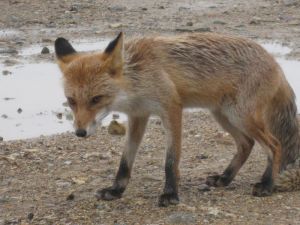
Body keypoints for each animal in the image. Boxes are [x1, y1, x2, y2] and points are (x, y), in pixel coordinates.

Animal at [55, 32, 300, 207]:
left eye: (96, 99)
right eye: (71, 100)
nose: (80, 132)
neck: (136, 79)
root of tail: (274, 61)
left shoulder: (171, 108)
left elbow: (171, 161)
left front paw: (170, 194)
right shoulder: (138, 116)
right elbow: (125, 161)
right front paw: (116, 190)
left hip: (240, 116)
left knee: (275, 145)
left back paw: (267, 185)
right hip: (223, 115)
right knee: (246, 144)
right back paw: (225, 178)